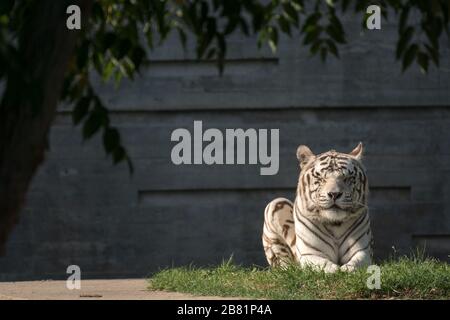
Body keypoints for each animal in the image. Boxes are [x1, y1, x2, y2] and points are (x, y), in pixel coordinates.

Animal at [260, 142, 372, 272]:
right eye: (321, 179)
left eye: (347, 178)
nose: (334, 194)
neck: (335, 224)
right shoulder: (310, 254)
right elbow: (324, 265)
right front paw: (335, 270)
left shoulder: (363, 251)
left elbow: (357, 263)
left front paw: (346, 270)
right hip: (275, 203)